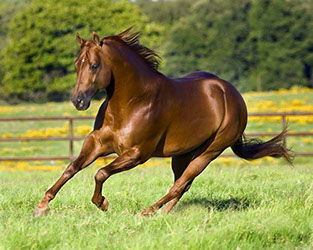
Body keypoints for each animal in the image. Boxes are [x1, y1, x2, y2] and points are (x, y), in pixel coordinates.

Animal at [33, 26, 292, 216]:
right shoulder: (97, 144)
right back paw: (164, 214)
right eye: (77, 64)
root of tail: (233, 94)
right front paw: (42, 206)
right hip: (182, 154)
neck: (132, 102)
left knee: (181, 183)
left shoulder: (137, 154)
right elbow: (72, 167)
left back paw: (148, 212)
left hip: (209, 152)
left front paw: (102, 203)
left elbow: (101, 173)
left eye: (95, 65)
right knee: (182, 185)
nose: (78, 100)